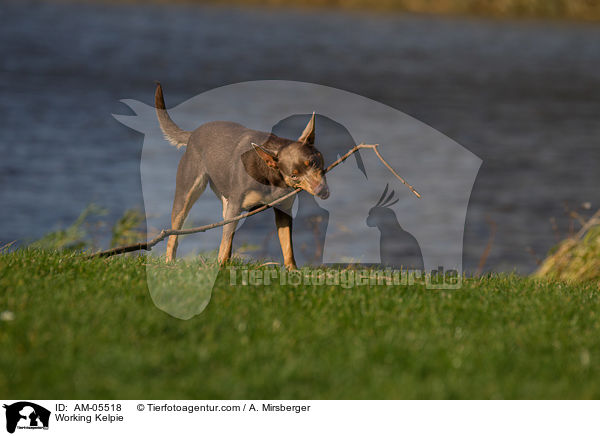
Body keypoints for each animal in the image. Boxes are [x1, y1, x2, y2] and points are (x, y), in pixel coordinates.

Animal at [155, 81, 330, 266]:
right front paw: (221, 268)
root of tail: (193, 133)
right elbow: (224, 244)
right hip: (187, 191)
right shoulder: (235, 206)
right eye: (294, 175)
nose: (321, 191)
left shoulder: (283, 208)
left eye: (313, 162)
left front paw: (292, 270)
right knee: (174, 234)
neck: (271, 175)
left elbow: (287, 247)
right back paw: (169, 263)